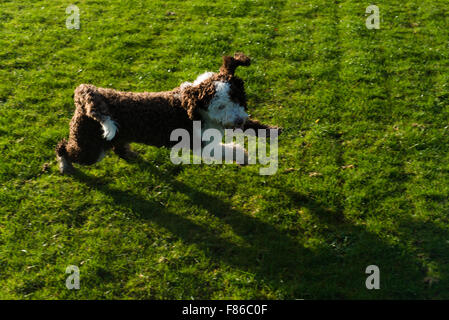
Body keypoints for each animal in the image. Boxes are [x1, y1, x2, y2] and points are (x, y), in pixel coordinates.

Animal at [55, 52, 280, 174]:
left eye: (238, 99)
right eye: (220, 106)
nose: (239, 120)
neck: (197, 110)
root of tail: (84, 93)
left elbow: (253, 127)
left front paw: (272, 130)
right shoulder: (199, 144)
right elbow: (226, 150)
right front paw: (242, 156)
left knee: (117, 147)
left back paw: (129, 153)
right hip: (90, 148)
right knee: (63, 147)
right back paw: (65, 166)